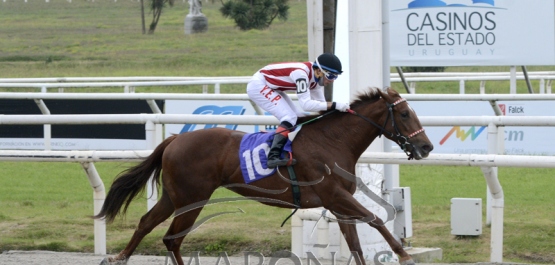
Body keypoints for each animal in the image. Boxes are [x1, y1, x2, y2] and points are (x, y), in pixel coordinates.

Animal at [94, 87, 434, 264]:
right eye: (405, 113)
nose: (426, 146)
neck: (333, 141)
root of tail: (175, 139)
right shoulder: (334, 195)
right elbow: (375, 219)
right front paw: (404, 254)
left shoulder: (338, 203)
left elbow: (355, 243)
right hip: (192, 199)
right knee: (170, 237)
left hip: (174, 196)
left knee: (148, 224)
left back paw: (119, 256)